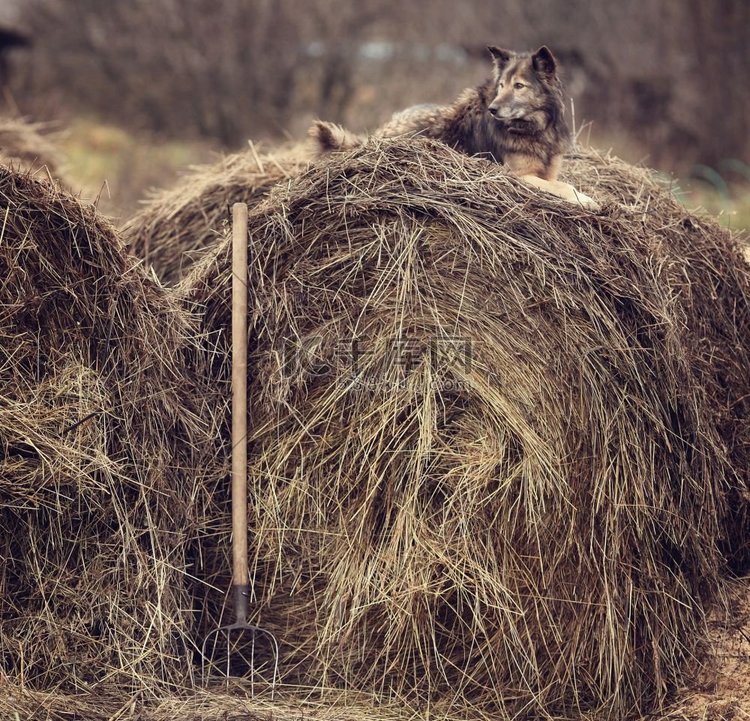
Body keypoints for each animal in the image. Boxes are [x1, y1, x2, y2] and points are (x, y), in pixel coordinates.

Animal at [312, 46, 600, 210]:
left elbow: (564, 182)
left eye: (519, 86)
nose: (493, 109)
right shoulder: (518, 175)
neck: (535, 128)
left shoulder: (547, 172)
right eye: (501, 86)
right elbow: (564, 187)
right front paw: (588, 201)